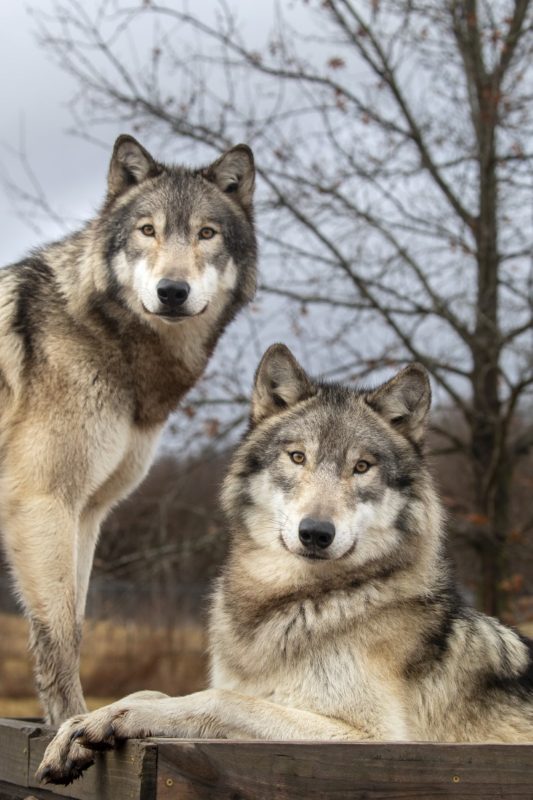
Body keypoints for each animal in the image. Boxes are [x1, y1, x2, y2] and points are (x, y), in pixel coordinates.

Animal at [0, 136, 258, 724]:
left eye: (206, 233)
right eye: (148, 230)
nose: (172, 291)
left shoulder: (88, 512)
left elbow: (77, 626)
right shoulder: (42, 501)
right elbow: (59, 634)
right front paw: (69, 725)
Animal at [37, 342, 532, 780]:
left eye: (362, 467)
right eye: (297, 457)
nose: (315, 533)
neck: (295, 604)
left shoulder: (371, 737)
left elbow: (219, 700)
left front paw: (120, 717)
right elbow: (159, 689)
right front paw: (82, 723)